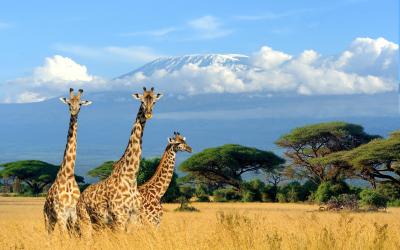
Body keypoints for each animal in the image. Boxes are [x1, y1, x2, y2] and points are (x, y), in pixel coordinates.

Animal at [43, 88, 92, 234]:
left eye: (80, 104)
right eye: (69, 103)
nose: (73, 111)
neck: (69, 175)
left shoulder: (73, 214)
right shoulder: (61, 214)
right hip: (48, 219)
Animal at [76, 87, 162, 232]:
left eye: (155, 102)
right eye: (142, 101)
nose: (149, 114)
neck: (131, 177)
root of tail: (80, 198)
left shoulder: (134, 217)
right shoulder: (119, 217)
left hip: (98, 223)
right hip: (85, 220)